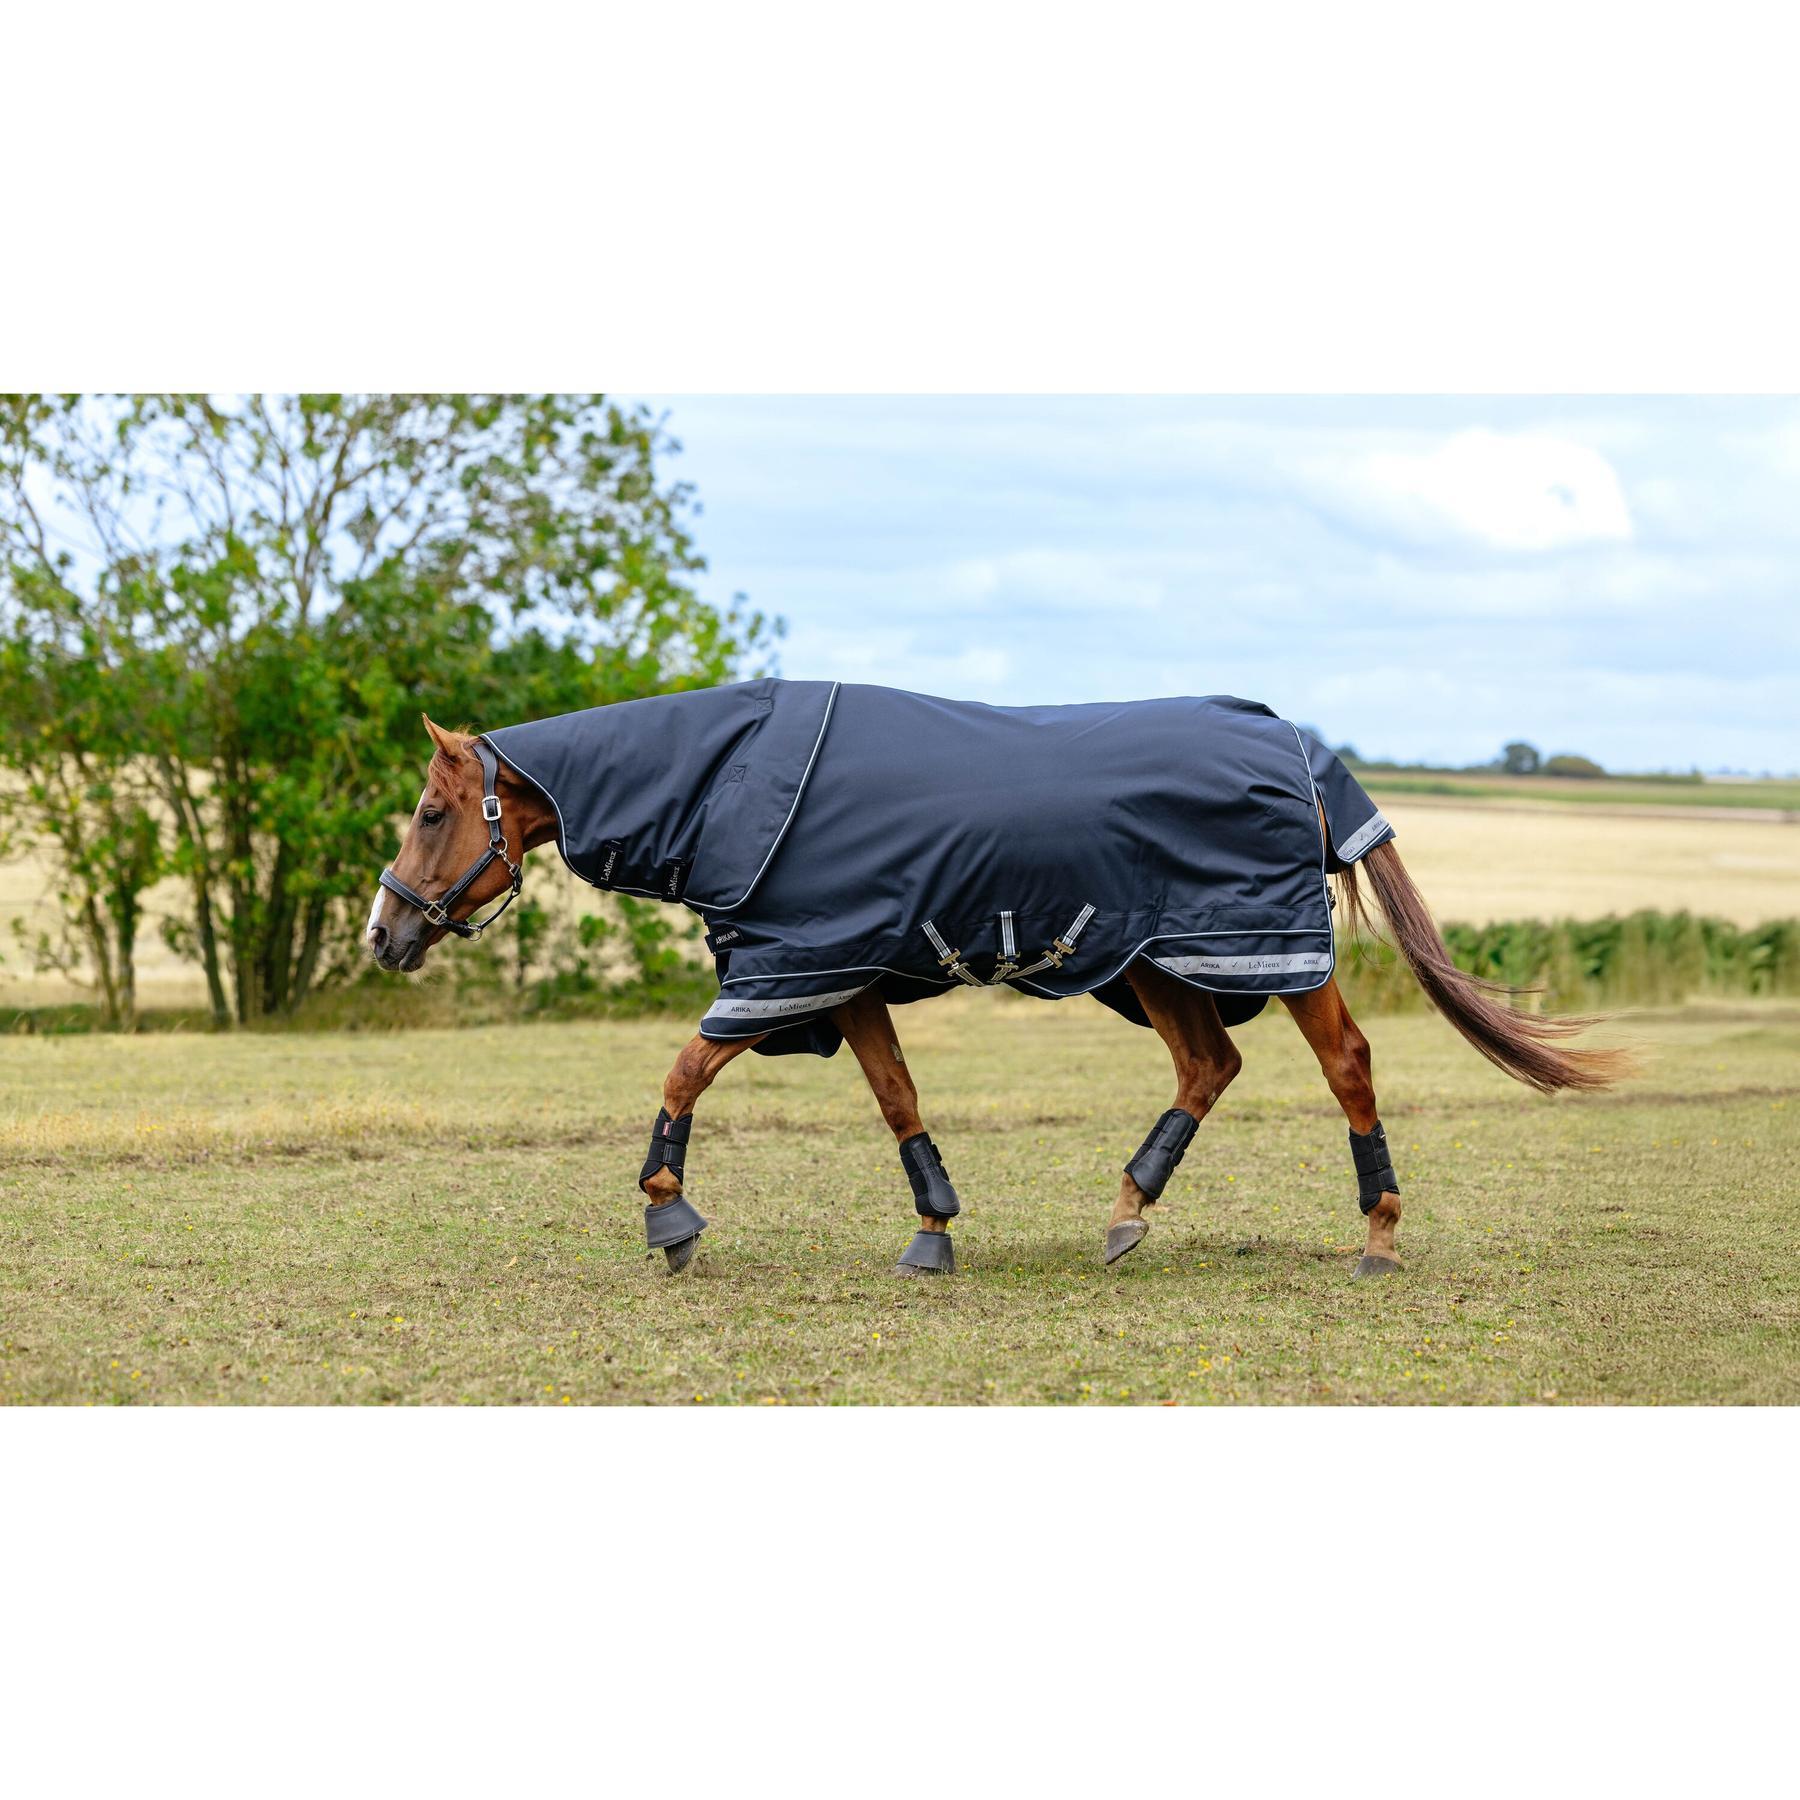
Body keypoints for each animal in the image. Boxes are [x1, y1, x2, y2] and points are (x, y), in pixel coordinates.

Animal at [367, 683, 1626, 1280]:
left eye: (429, 812)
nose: (383, 934)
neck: (730, 778)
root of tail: (1298, 747)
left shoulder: (791, 966)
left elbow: (682, 1070)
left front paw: (667, 1213)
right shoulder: (844, 972)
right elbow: (897, 1100)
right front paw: (933, 1230)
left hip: (1254, 943)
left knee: (1347, 1065)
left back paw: (1377, 1233)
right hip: (1154, 960)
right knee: (1208, 1063)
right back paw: (1126, 1212)